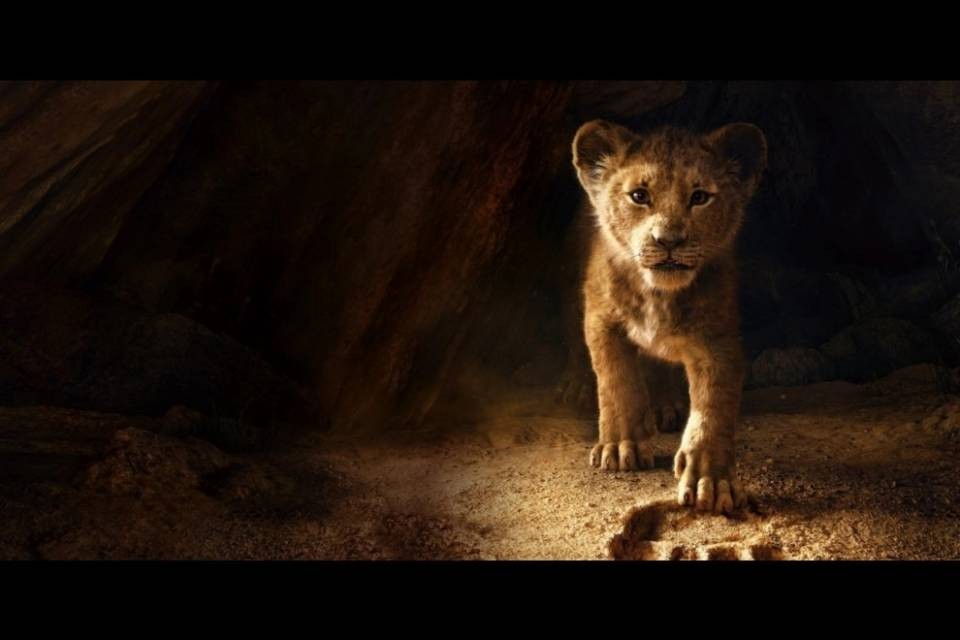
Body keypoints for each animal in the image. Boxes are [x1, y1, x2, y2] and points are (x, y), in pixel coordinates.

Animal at [571, 119, 767, 514]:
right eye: (639, 195)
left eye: (700, 197)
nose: (669, 241)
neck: (658, 295)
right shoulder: (601, 319)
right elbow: (617, 382)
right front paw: (621, 446)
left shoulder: (718, 339)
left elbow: (713, 406)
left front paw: (711, 480)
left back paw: (666, 405)